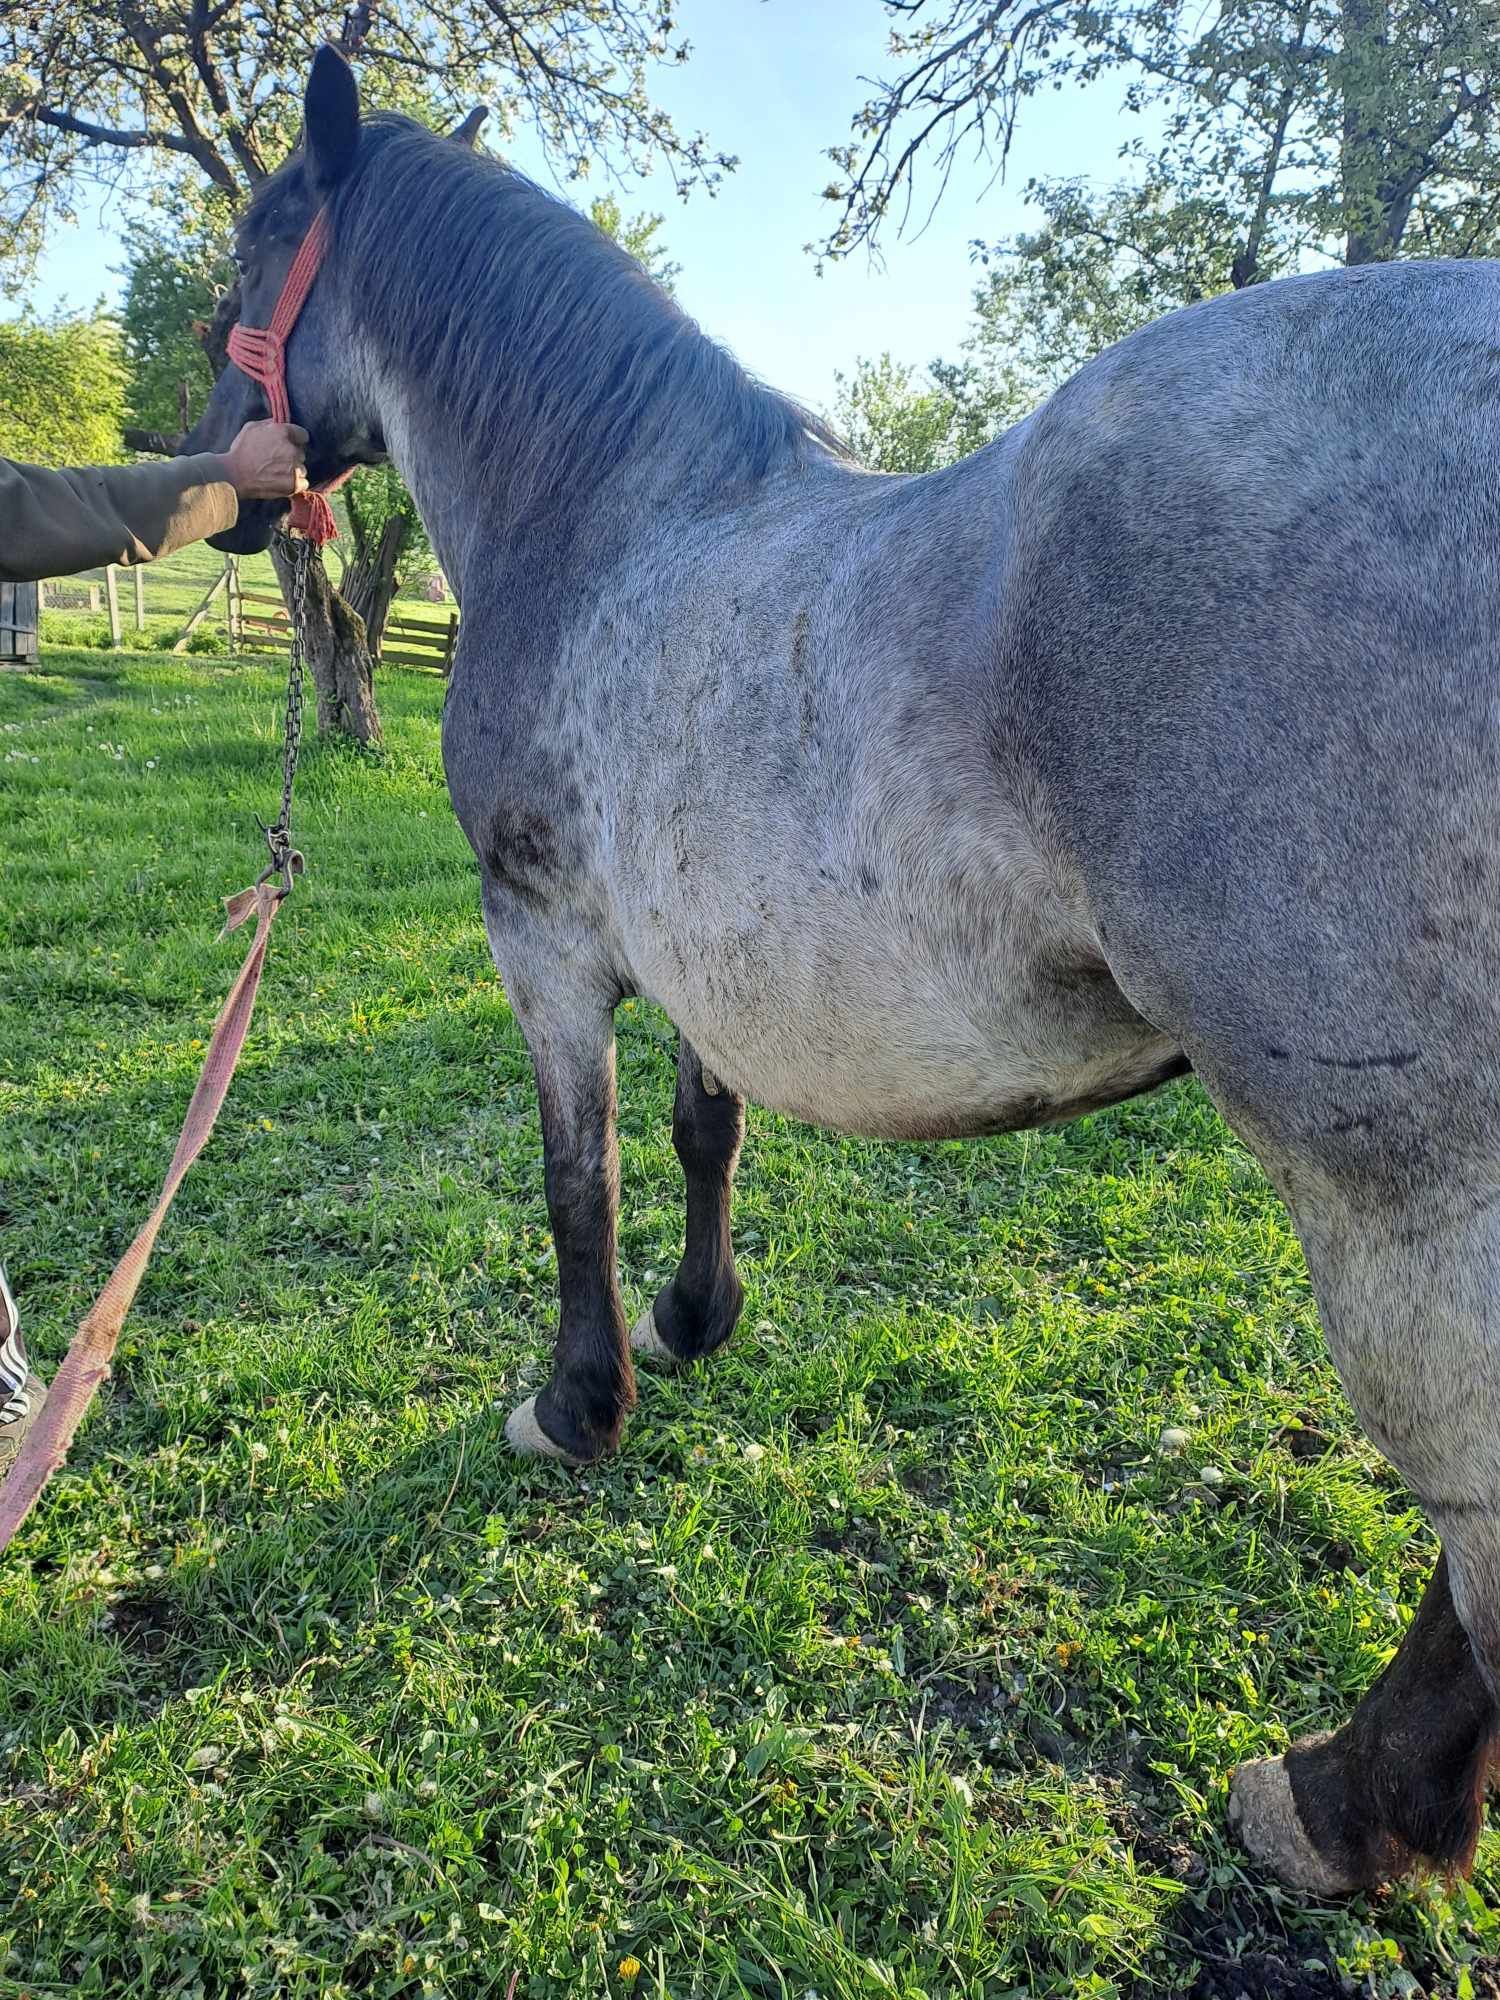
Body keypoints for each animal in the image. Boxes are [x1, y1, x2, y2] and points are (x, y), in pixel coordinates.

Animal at [188, 35, 1500, 1904]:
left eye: (255, 245)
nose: (204, 471)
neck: (612, 521)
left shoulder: (547, 937)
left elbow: (575, 1176)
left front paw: (577, 1401)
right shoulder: (694, 948)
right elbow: (700, 1140)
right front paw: (692, 1324)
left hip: (1404, 1200)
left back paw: (1341, 1805)